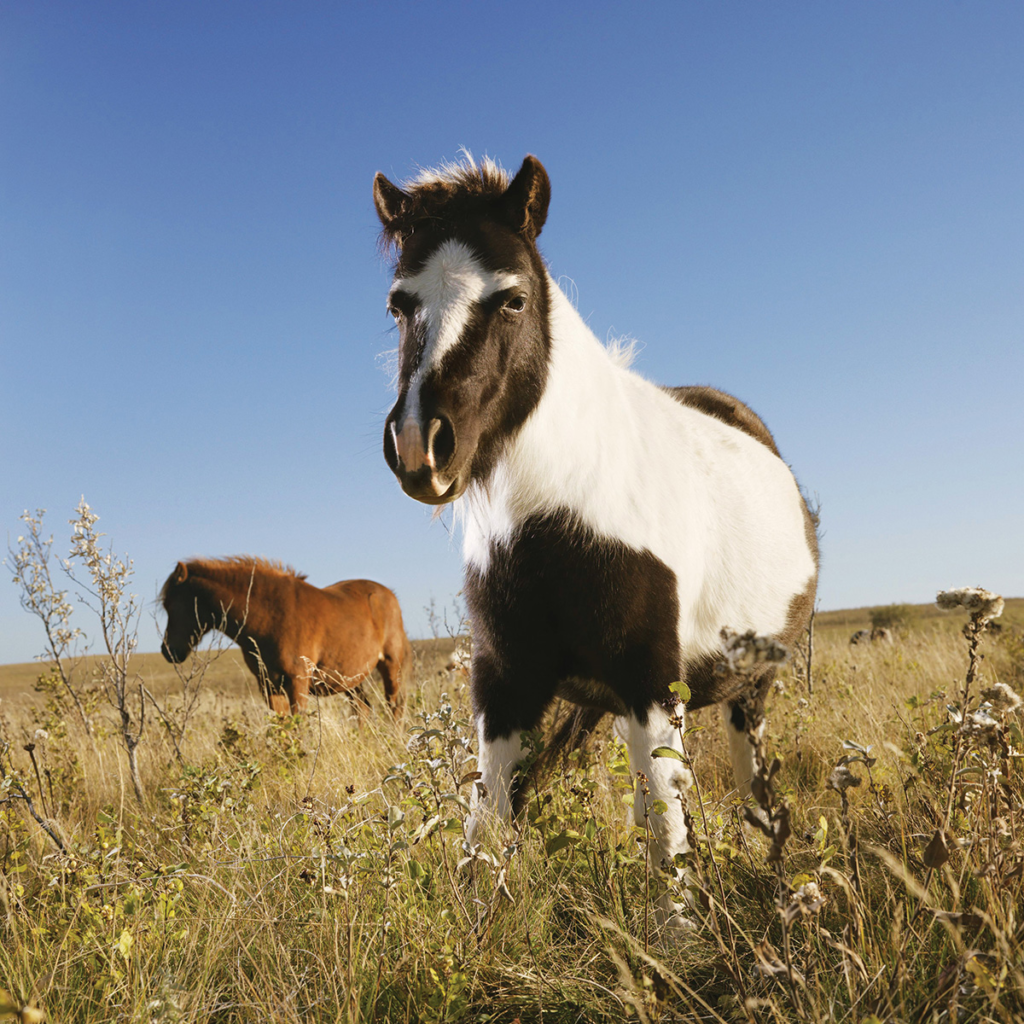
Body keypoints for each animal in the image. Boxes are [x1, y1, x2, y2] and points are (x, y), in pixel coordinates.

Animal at [159, 556, 412, 717]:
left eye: (170, 604)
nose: (168, 651)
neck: (270, 616)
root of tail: (389, 595)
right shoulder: (269, 686)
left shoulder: (297, 682)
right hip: (351, 677)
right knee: (363, 709)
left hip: (391, 666)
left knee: (395, 706)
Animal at [373, 154, 818, 924]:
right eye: (400, 303)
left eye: (512, 299)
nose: (419, 446)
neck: (554, 513)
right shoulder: (506, 681)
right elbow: (488, 828)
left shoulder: (651, 682)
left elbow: (668, 843)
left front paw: (681, 937)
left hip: (749, 690)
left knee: (753, 796)